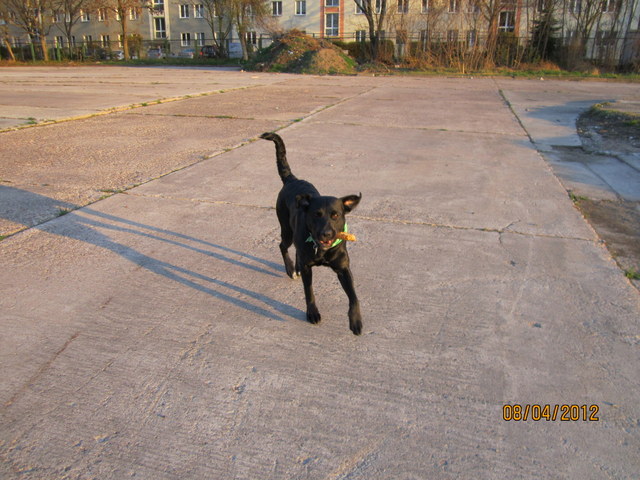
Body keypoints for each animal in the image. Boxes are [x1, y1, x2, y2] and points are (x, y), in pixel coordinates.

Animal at [258, 130, 360, 334]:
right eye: (316, 214)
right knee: (283, 246)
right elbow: (309, 292)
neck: (321, 250)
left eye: (336, 215)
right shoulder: (307, 268)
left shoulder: (343, 268)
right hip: (287, 231)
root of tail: (292, 179)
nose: (325, 234)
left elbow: (354, 297)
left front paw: (356, 321)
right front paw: (312, 313)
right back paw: (291, 269)